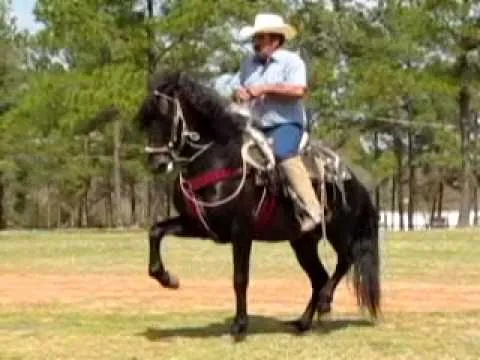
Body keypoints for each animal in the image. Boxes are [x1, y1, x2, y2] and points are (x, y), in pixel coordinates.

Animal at [134, 71, 378, 338]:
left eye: (167, 115)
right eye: (147, 118)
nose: (157, 163)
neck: (217, 160)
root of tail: (353, 180)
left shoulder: (241, 232)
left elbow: (240, 278)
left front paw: (239, 325)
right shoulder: (198, 225)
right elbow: (156, 231)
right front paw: (167, 278)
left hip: (339, 232)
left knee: (345, 260)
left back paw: (325, 301)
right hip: (302, 242)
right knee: (319, 276)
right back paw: (303, 322)